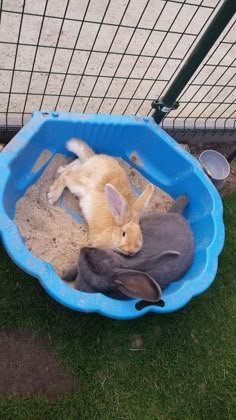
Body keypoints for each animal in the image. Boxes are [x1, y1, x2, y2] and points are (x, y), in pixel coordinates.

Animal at [61, 195, 195, 300]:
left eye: (94, 266)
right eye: (97, 251)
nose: (84, 249)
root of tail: (180, 218)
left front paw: (63, 276)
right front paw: (65, 275)